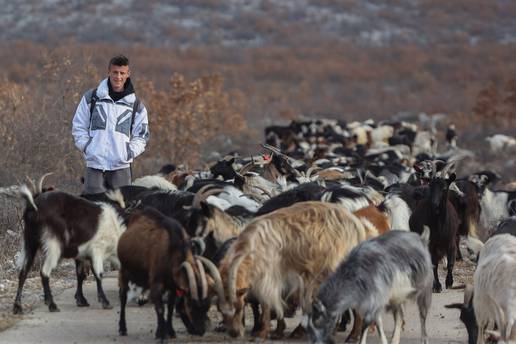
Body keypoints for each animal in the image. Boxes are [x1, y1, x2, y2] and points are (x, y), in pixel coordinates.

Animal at [1, 176, 126, 314]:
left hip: (30, 243)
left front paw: (81, 300)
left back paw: (18, 306)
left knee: (23, 272)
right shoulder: (96, 250)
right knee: (44, 272)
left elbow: (80, 275)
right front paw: (105, 302)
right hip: (53, 245)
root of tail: (34, 207)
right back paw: (52, 305)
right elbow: (98, 274)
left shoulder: (81, 254)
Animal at [118, 207, 223, 342]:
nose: (201, 330)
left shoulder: (173, 286)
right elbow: (160, 308)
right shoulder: (156, 283)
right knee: (123, 298)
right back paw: (122, 328)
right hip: (123, 271)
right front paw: (161, 334)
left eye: (207, 306)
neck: (171, 252)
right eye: (191, 304)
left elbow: (170, 307)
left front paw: (171, 332)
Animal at [216, 202, 376, 338]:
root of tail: (360, 227)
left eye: (238, 307)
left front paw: (264, 332)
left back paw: (352, 336)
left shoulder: (271, 277)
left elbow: (268, 304)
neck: (253, 246)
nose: (233, 333)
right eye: (220, 310)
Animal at [304, 230, 434, 344]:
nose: (316, 341)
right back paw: (394, 340)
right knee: (399, 316)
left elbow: (366, 323)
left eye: (318, 320)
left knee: (422, 315)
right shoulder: (374, 301)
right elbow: (378, 322)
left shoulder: (375, 298)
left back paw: (424, 339)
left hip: (425, 289)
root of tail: (421, 239)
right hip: (396, 298)